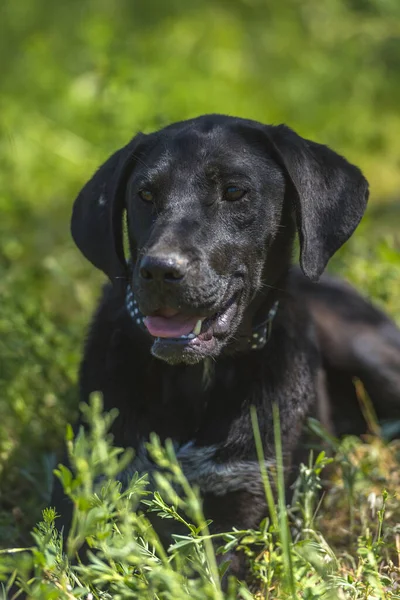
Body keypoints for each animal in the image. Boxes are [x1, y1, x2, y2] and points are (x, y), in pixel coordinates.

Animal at [53, 113, 400, 576]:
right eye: (145, 194)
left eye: (234, 192)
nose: (159, 270)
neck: (197, 379)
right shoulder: (88, 496)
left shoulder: (247, 504)